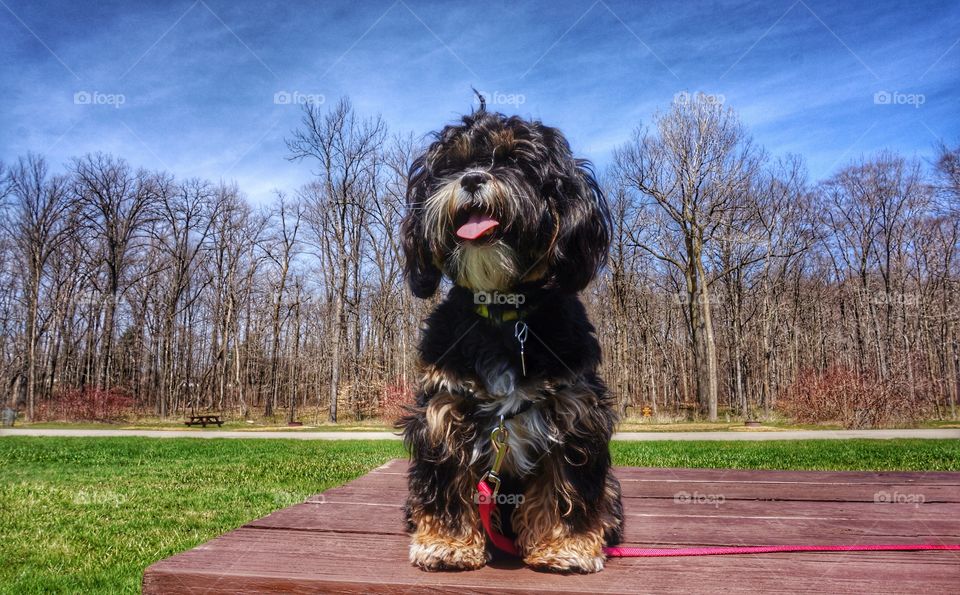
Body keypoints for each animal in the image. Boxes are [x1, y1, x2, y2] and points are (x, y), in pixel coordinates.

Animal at [398, 100, 624, 576]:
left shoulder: (574, 413)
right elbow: (448, 482)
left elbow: (563, 486)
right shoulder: (445, 409)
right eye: (452, 166)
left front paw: (565, 546)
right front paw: (447, 543)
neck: (504, 314)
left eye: (515, 161)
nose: (471, 179)